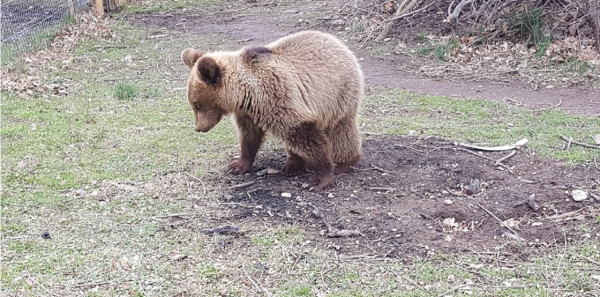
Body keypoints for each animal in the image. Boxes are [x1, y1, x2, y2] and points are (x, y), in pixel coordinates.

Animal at [180, 29, 364, 190]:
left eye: (197, 104)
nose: (198, 128)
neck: (246, 94)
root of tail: (337, 41)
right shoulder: (248, 113)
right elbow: (249, 137)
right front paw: (238, 165)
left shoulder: (280, 100)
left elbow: (307, 135)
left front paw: (319, 179)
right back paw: (293, 164)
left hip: (338, 96)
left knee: (341, 131)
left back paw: (344, 163)